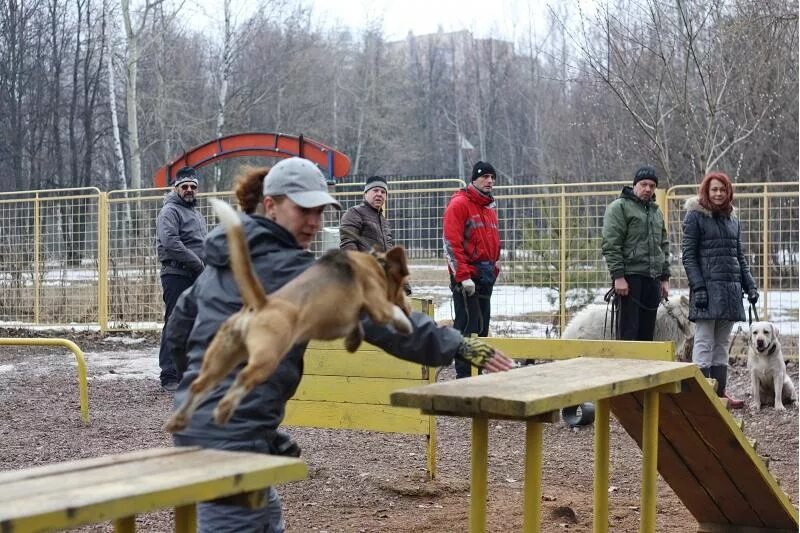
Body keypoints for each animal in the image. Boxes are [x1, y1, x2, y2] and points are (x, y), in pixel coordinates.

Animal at [162, 197, 412, 430]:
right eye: (402, 285)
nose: (409, 306)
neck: (376, 264)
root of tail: (261, 304)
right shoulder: (378, 305)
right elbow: (388, 312)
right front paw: (404, 323)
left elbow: (356, 325)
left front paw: (353, 341)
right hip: (267, 357)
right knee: (243, 379)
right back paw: (224, 410)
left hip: (222, 357)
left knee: (199, 385)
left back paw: (179, 420)